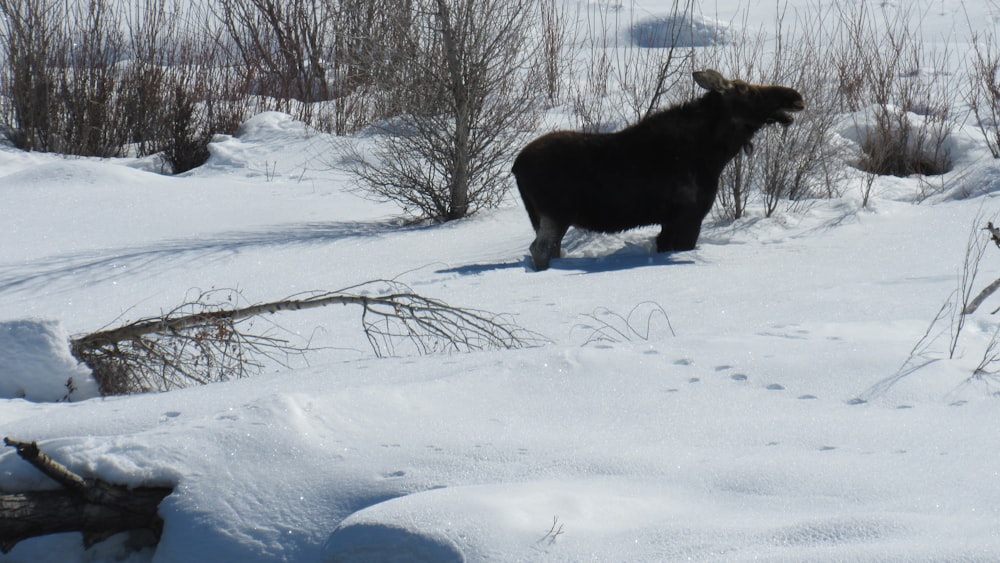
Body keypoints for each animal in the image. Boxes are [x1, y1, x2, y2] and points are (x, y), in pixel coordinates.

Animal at [516, 69, 804, 272]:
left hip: (542, 217)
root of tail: (516, 166)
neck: (716, 154)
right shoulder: (690, 215)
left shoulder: (669, 220)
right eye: (746, 90)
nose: (796, 97)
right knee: (540, 249)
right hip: (556, 214)